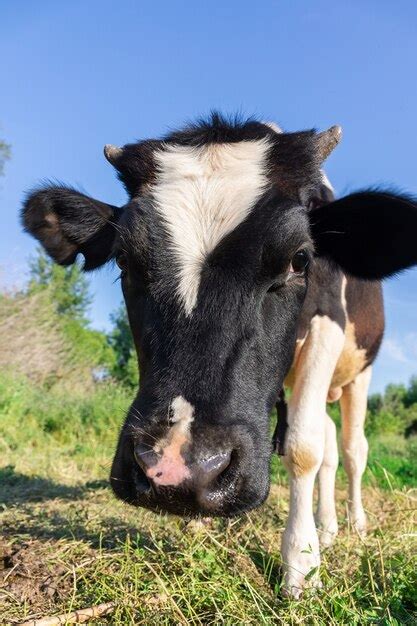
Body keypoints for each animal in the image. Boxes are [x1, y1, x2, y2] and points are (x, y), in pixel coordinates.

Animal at [21, 113, 416, 596]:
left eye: (300, 260)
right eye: (124, 261)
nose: (178, 467)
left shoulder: (327, 328)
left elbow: (303, 448)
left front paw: (301, 565)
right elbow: (312, 448)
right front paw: (199, 525)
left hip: (359, 371)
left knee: (350, 447)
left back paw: (351, 524)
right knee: (329, 447)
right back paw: (327, 527)